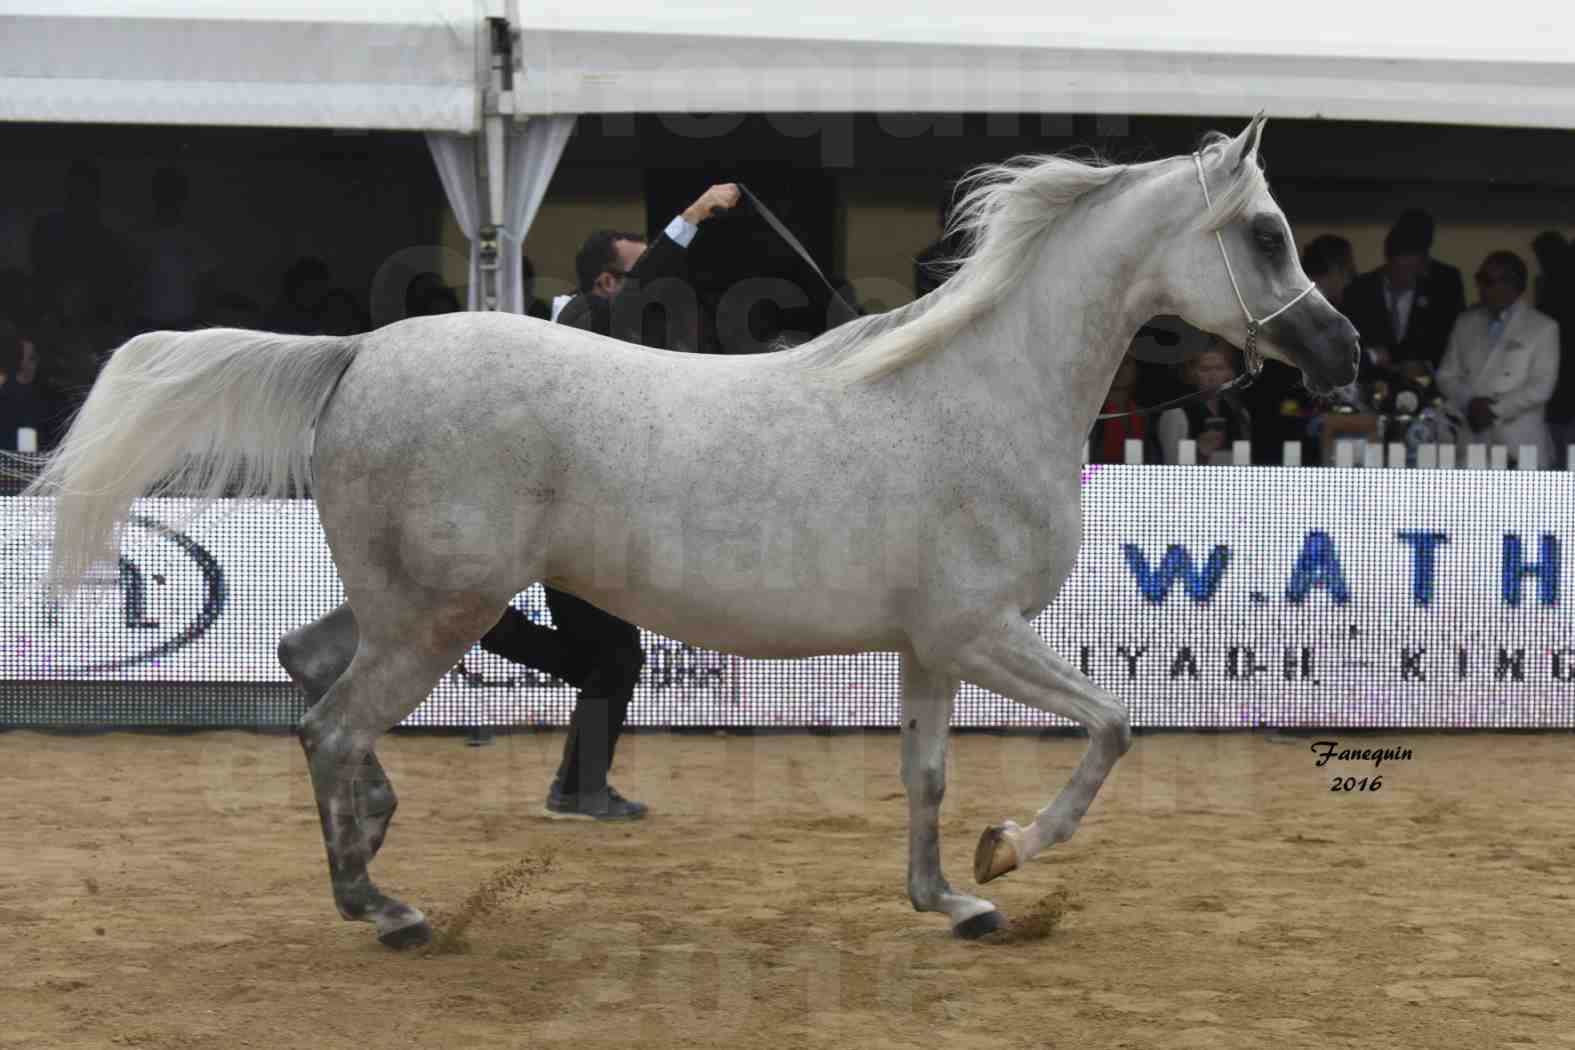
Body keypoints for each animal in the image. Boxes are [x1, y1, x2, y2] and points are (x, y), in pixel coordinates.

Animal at [27, 118, 1354, 950]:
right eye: (1267, 233)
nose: (1341, 355)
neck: (976, 390)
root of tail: (360, 353)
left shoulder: (933, 647)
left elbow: (925, 776)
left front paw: (953, 898)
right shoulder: (982, 632)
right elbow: (1115, 726)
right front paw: (1012, 854)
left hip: (413, 601)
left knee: (307, 671)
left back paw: (372, 850)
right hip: (441, 613)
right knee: (329, 724)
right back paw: (387, 909)